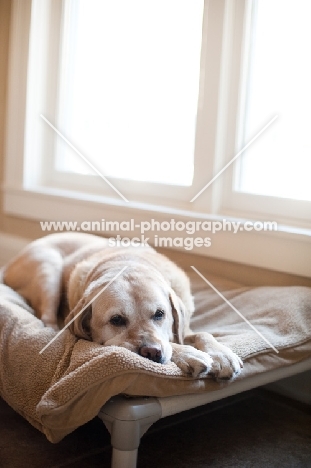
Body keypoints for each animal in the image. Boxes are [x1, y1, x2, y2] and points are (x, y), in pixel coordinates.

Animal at [3, 232, 245, 378]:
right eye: (116, 320)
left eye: (160, 314)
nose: (151, 352)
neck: (127, 262)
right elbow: (172, 344)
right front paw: (189, 354)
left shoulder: (183, 328)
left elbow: (201, 334)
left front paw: (221, 354)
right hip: (48, 268)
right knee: (48, 319)